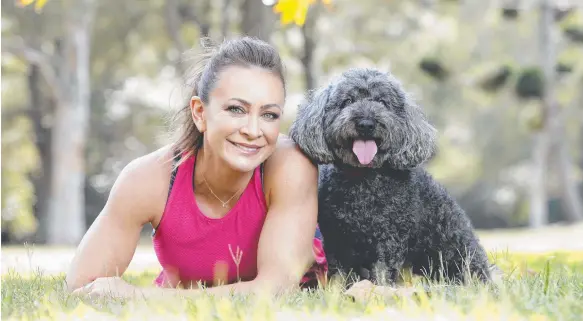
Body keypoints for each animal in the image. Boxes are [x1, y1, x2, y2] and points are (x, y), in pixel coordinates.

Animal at [290, 68, 490, 284]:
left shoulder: (389, 239)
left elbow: (382, 271)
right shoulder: (337, 239)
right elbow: (339, 275)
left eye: (382, 102)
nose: (366, 124)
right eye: (348, 101)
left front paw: (378, 289)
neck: (363, 180)